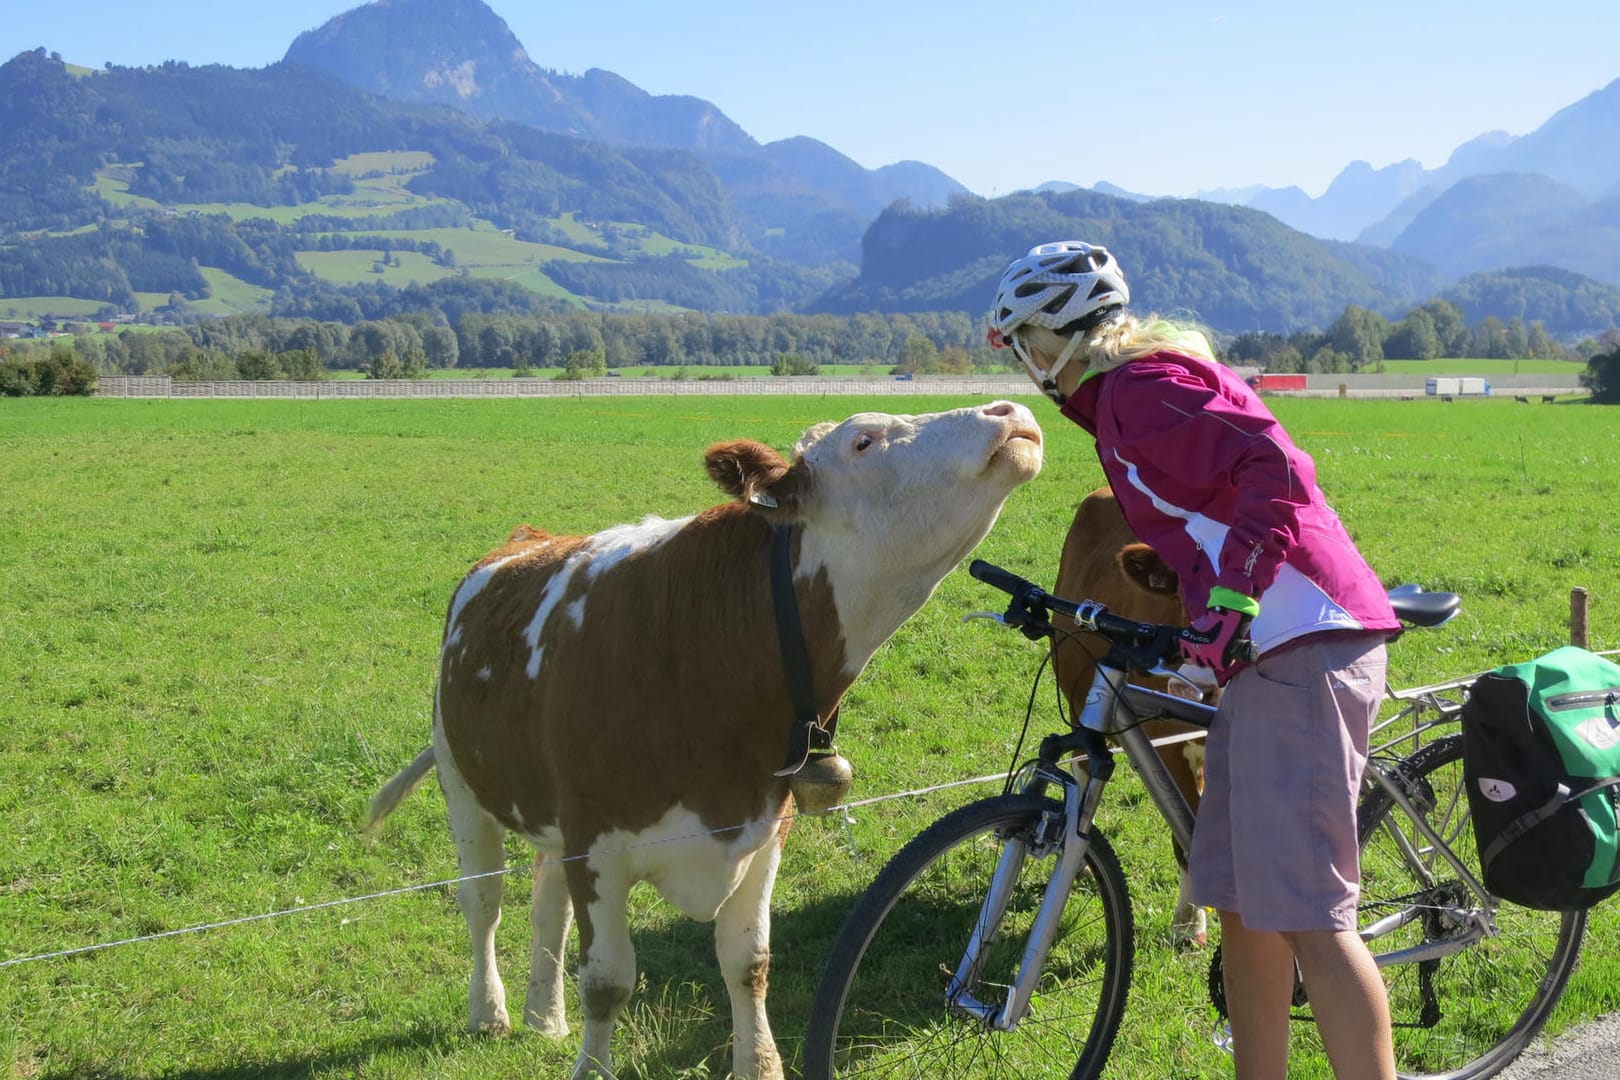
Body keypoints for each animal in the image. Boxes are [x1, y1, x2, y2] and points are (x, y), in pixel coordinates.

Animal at [366, 401, 1043, 1075]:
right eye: (863, 441)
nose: (1007, 409)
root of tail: (525, 538)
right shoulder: (596, 845)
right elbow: (607, 982)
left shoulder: (763, 829)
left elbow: (748, 965)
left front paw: (760, 1063)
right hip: (461, 781)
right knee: (484, 900)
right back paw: (491, 1012)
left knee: (546, 903)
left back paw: (545, 1017)